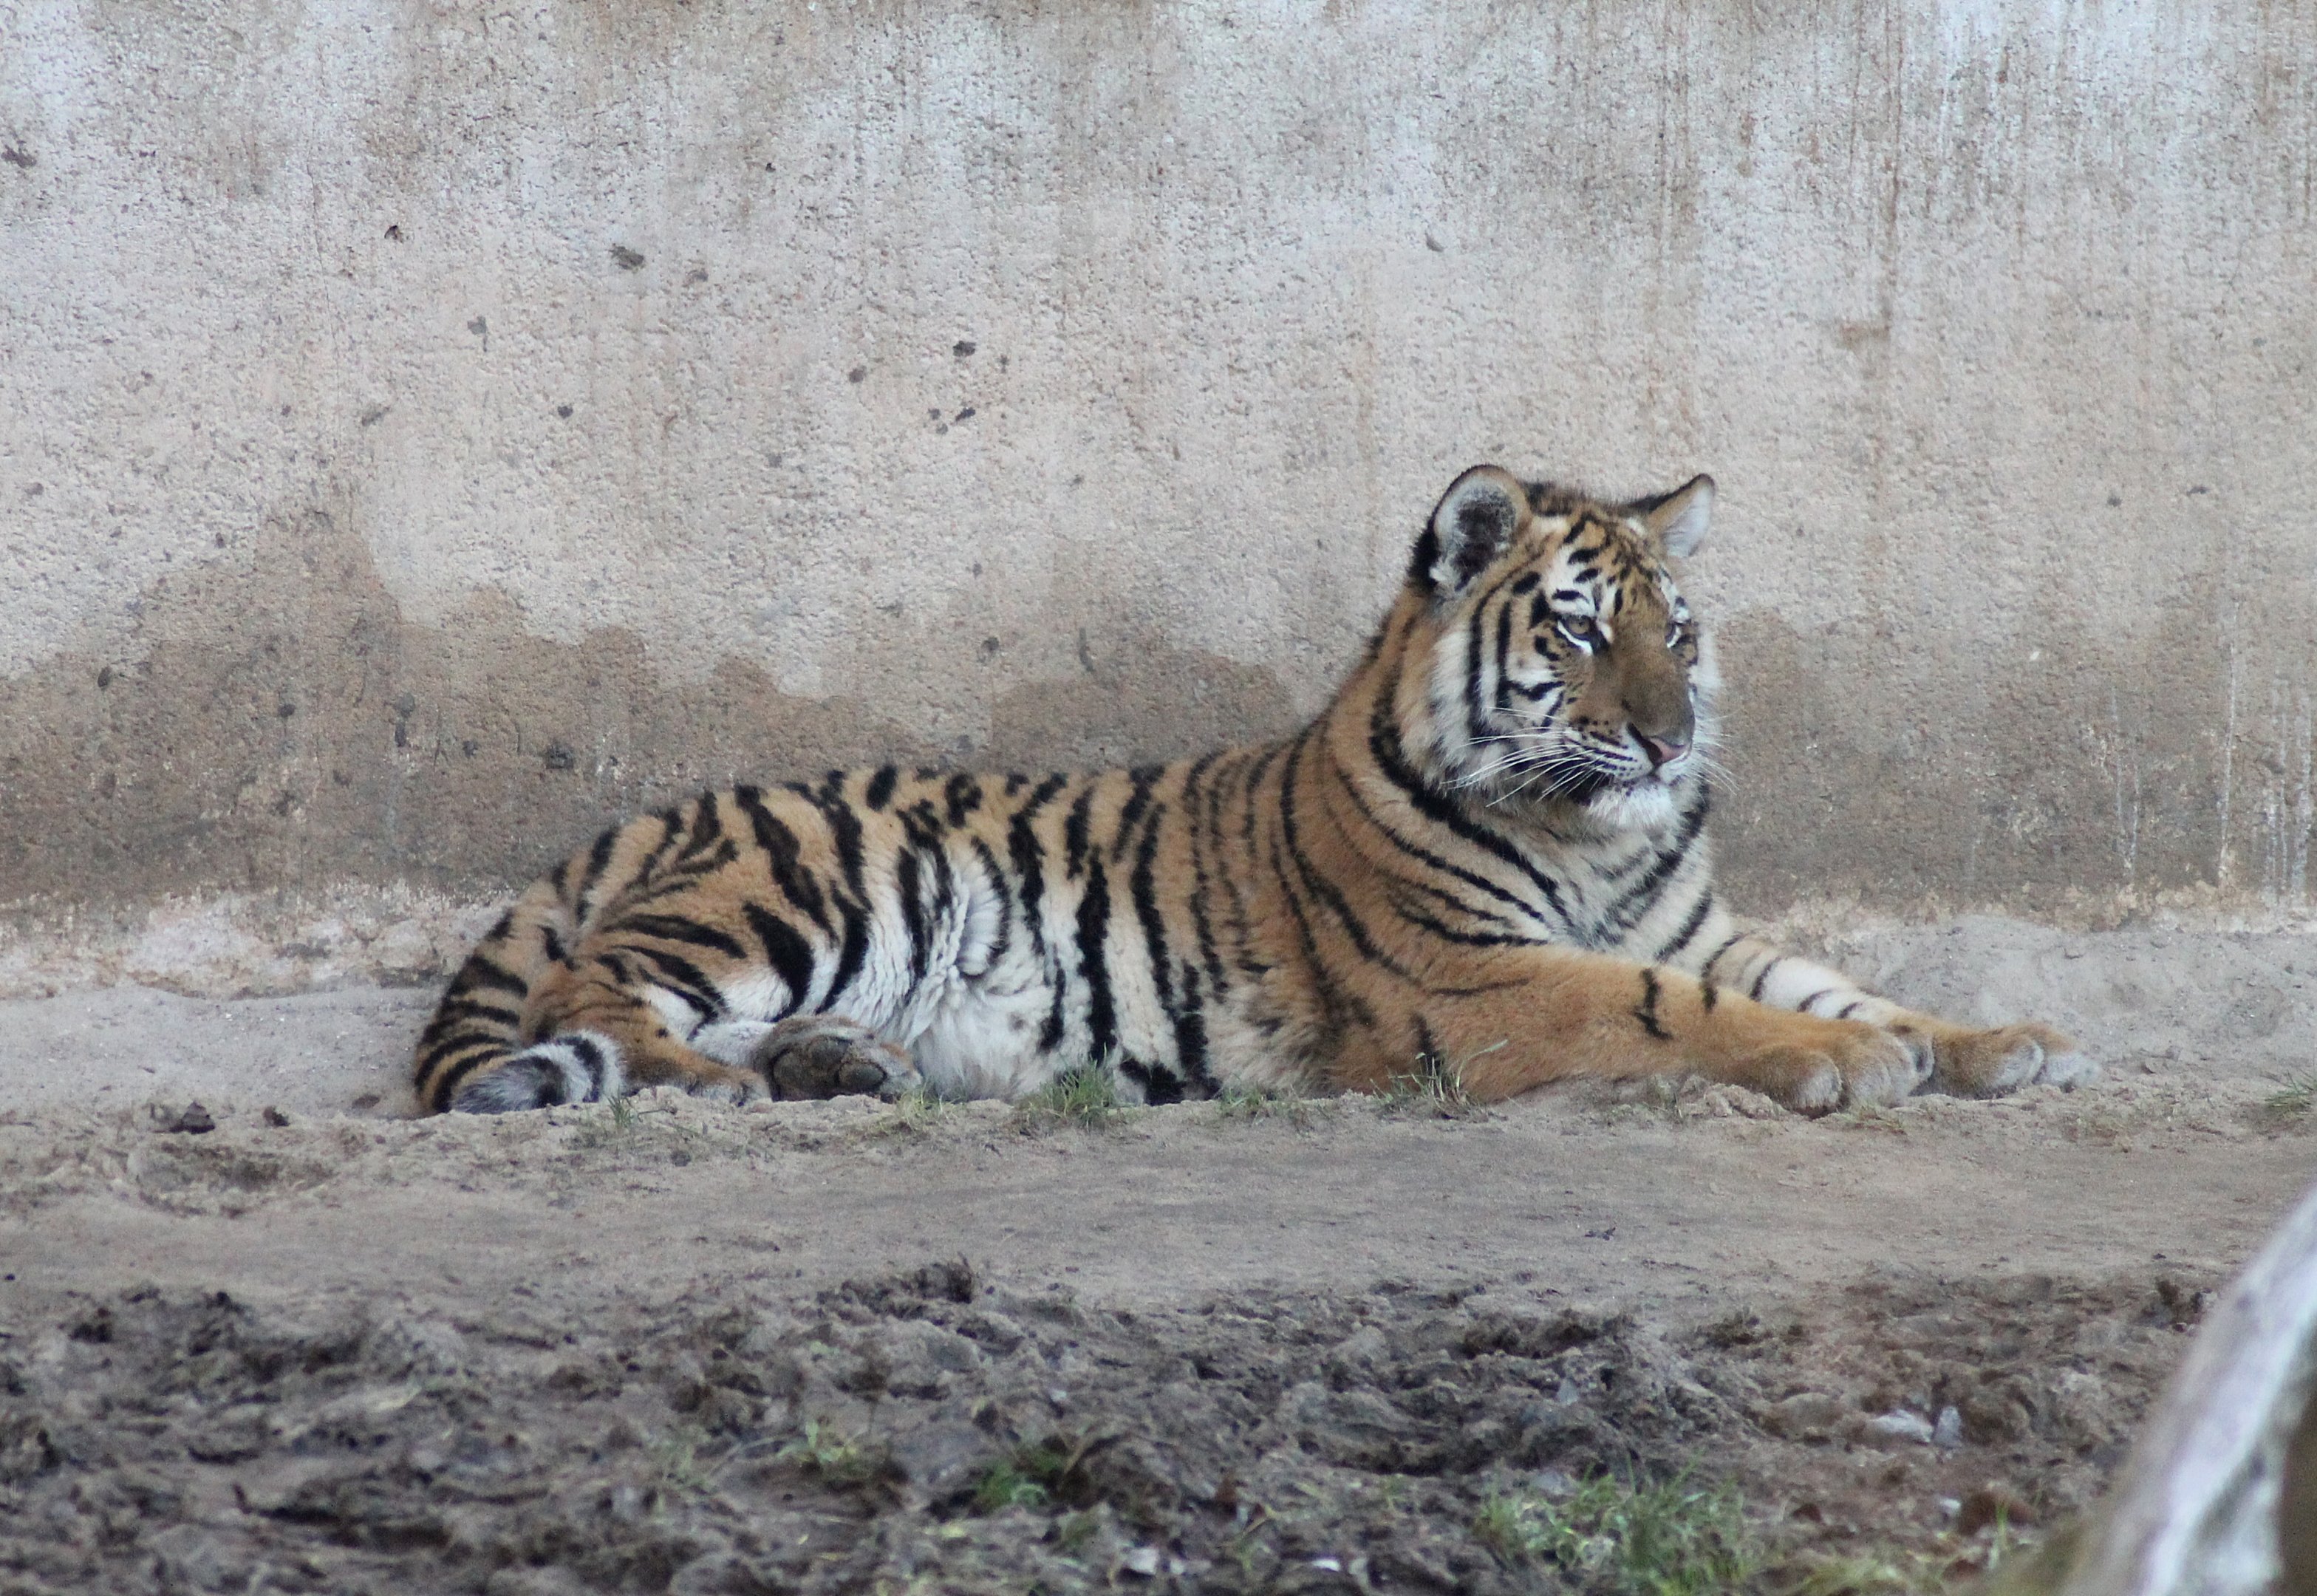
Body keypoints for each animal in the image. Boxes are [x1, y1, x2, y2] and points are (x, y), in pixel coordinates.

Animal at [412, 464, 2094, 1118]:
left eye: (1676, 633)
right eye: (1576, 628)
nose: (1675, 742)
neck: (1595, 844)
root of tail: (656, 813)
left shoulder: (1698, 931)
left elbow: (1833, 980)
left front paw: (2004, 1041)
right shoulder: (1485, 981)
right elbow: (1686, 1017)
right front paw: (1850, 1069)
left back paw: (845, 1070)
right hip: (814, 890)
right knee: (592, 998)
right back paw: (717, 1082)